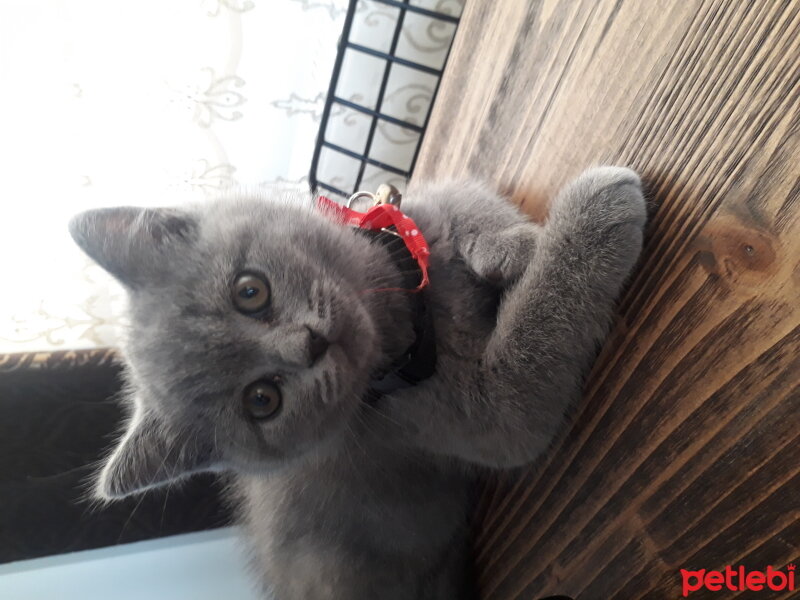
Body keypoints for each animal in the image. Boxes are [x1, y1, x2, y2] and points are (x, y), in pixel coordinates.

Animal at [67, 166, 644, 596]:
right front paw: (596, 208)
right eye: (262, 400)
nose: (308, 345)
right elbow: (535, 336)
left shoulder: (406, 217)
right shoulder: (483, 415)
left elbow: (460, 200)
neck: (408, 318)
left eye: (249, 291)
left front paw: (518, 244)